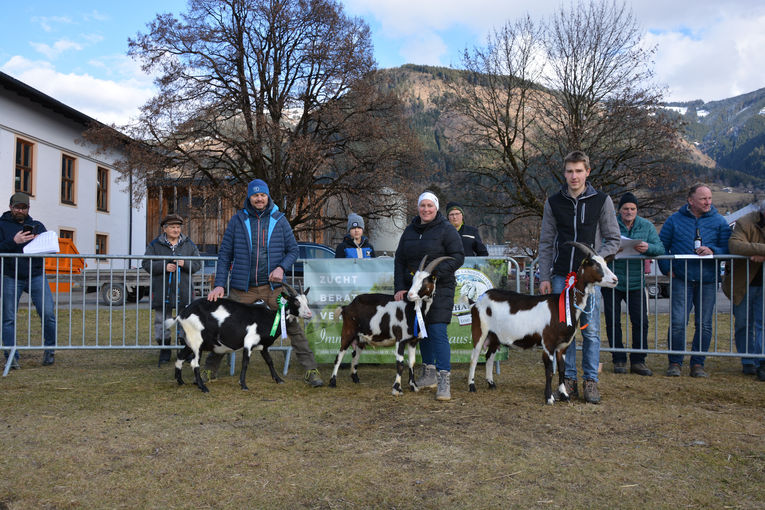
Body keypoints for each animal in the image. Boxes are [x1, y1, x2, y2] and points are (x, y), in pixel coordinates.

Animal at [166, 282, 312, 394]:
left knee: (180, 357)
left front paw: (278, 379)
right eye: (296, 301)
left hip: (190, 342)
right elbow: (245, 363)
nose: (309, 314)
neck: (268, 318)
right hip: (197, 341)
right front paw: (243, 385)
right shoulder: (249, 342)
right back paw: (203, 387)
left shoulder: (263, 346)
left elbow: (270, 361)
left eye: (307, 301)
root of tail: (182, 314)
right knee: (194, 363)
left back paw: (180, 381)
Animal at [326, 256, 448, 396]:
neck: (411, 310)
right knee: (339, 356)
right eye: (413, 280)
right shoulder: (400, 339)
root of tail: (347, 307)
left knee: (355, 355)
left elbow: (411, 362)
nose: (410, 295)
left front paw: (414, 386)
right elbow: (400, 363)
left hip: (361, 337)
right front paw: (397, 389)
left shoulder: (413, 341)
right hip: (348, 332)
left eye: (425, 281)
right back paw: (332, 382)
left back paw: (355, 378)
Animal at [462, 241, 616, 404]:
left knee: (489, 356)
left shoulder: (563, 346)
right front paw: (549, 398)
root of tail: (476, 301)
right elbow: (549, 371)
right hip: (480, 330)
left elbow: (562, 369)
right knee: (474, 356)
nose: (615, 280)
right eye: (595, 265)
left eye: (606, 263)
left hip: (495, 336)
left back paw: (491, 383)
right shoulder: (548, 343)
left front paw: (564, 395)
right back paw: (472, 386)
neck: (564, 306)